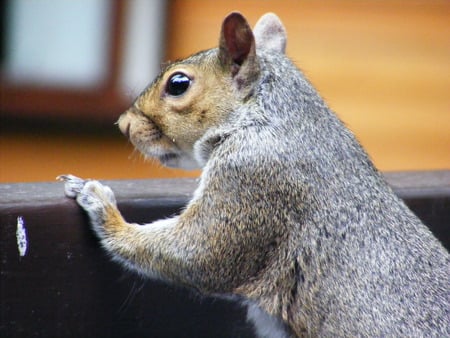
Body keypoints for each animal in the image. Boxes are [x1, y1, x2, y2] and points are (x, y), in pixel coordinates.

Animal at [60, 11, 450, 338]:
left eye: (178, 84)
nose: (124, 125)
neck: (266, 117)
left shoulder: (251, 181)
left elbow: (197, 254)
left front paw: (100, 205)